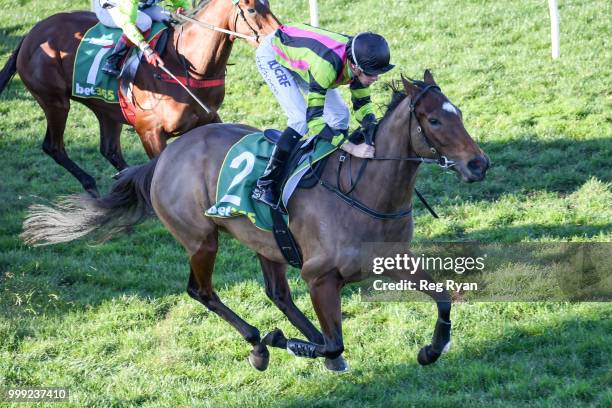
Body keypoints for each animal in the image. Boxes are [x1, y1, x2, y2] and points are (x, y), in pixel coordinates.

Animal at [0, 0, 280, 198]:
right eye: (252, 9)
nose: (278, 34)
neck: (185, 64)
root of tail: (30, 35)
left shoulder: (209, 118)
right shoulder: (150, 132)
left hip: (106, 110)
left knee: (109, 149)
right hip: (55, 102)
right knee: (54, 146)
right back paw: (92, 184)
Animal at [21, 71, 492, 372]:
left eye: (460, 112)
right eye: (434, 119)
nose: (479, 164)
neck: (365, 193)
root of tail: (164, 157)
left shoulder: (390, 260)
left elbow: (444, 297)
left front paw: (432, 349)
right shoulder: (320, 277)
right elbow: (336, 337)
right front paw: (286, 342)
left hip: (268, 242)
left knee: (277, 293)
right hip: (201, 240)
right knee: (203, 291)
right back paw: (260, 344)